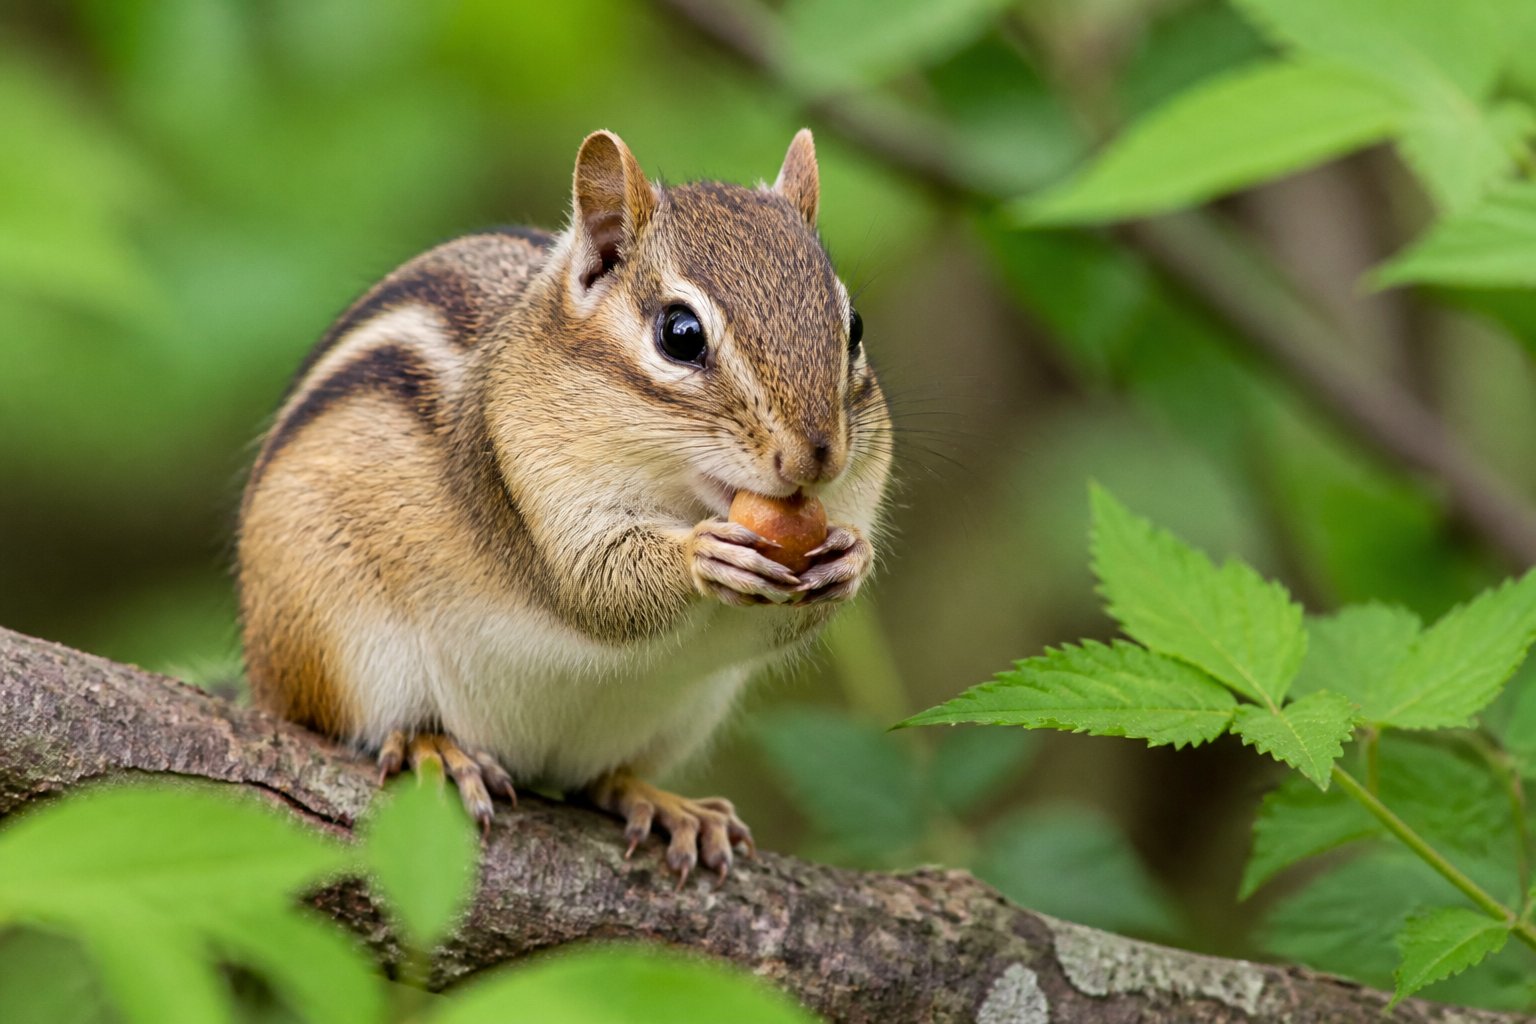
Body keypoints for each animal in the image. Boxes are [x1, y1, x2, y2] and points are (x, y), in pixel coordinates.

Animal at [236, 129, 892, 883]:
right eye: (680, 333)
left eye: (855, 327)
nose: (818, 457)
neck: (677, 491)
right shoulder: (525, 478)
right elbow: (596, 589)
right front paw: (703, 554)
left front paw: (851, 558)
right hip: (329, 638)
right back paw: (437, 748)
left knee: (600, 779)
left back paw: (663, 803)